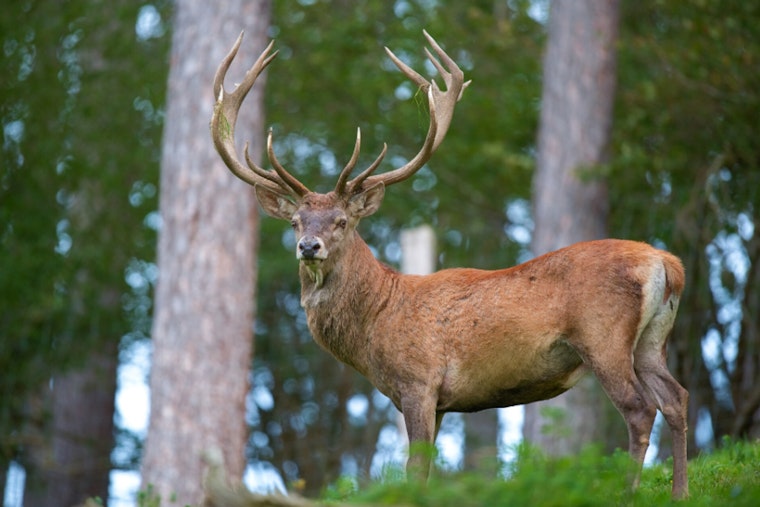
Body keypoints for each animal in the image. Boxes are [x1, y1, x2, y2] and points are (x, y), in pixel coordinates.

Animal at [210, 31, 689, 499]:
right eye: (295, 222)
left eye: (342, 221)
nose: (309, 246)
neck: (377, 320)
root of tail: (667, 263)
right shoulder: (439, 401)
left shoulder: (418, 382)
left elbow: (415, 469)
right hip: (651, 341)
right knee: (676, 398)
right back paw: (680, 492)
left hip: (603, 335)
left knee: (640, 409)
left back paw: (629, 492)